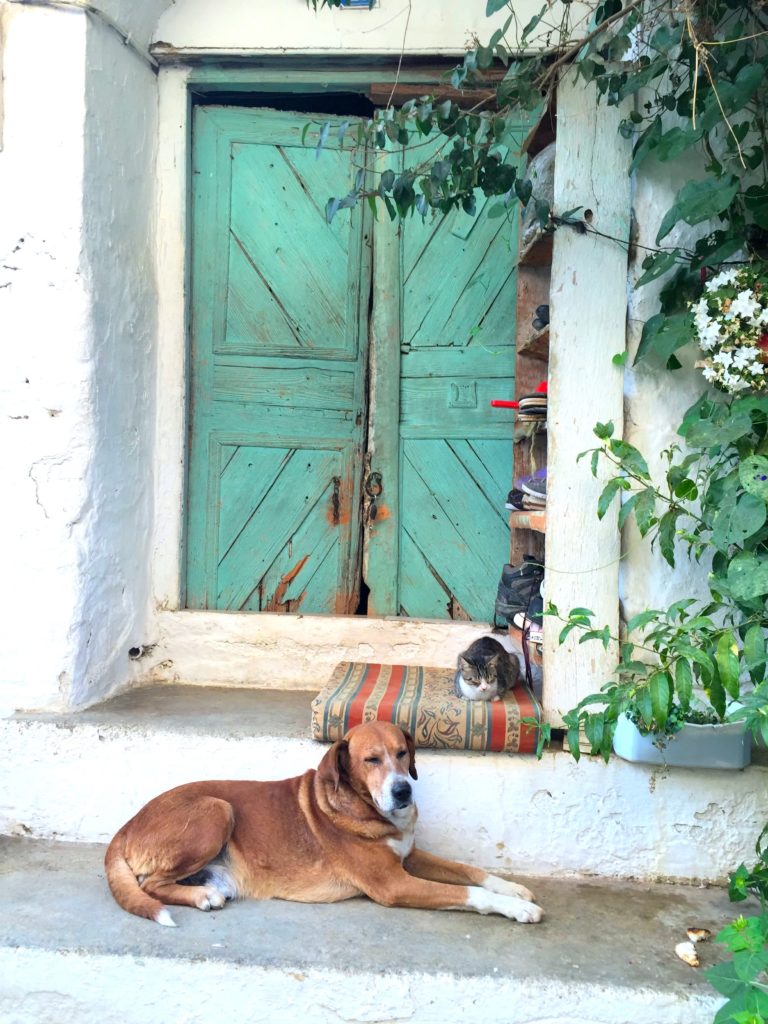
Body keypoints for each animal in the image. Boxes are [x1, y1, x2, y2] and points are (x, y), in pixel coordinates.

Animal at [105, 720, 544, 929]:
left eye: (403, 753)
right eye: (371, 760)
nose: (403, 791)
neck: (365, 807)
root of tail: (126, 826)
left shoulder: (411, 855)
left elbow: (469, 871)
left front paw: (514, 889)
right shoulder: (394, 884)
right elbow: (468, 892)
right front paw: (517, 908)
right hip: (217, 810)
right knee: (150, 884)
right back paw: (200, 897)